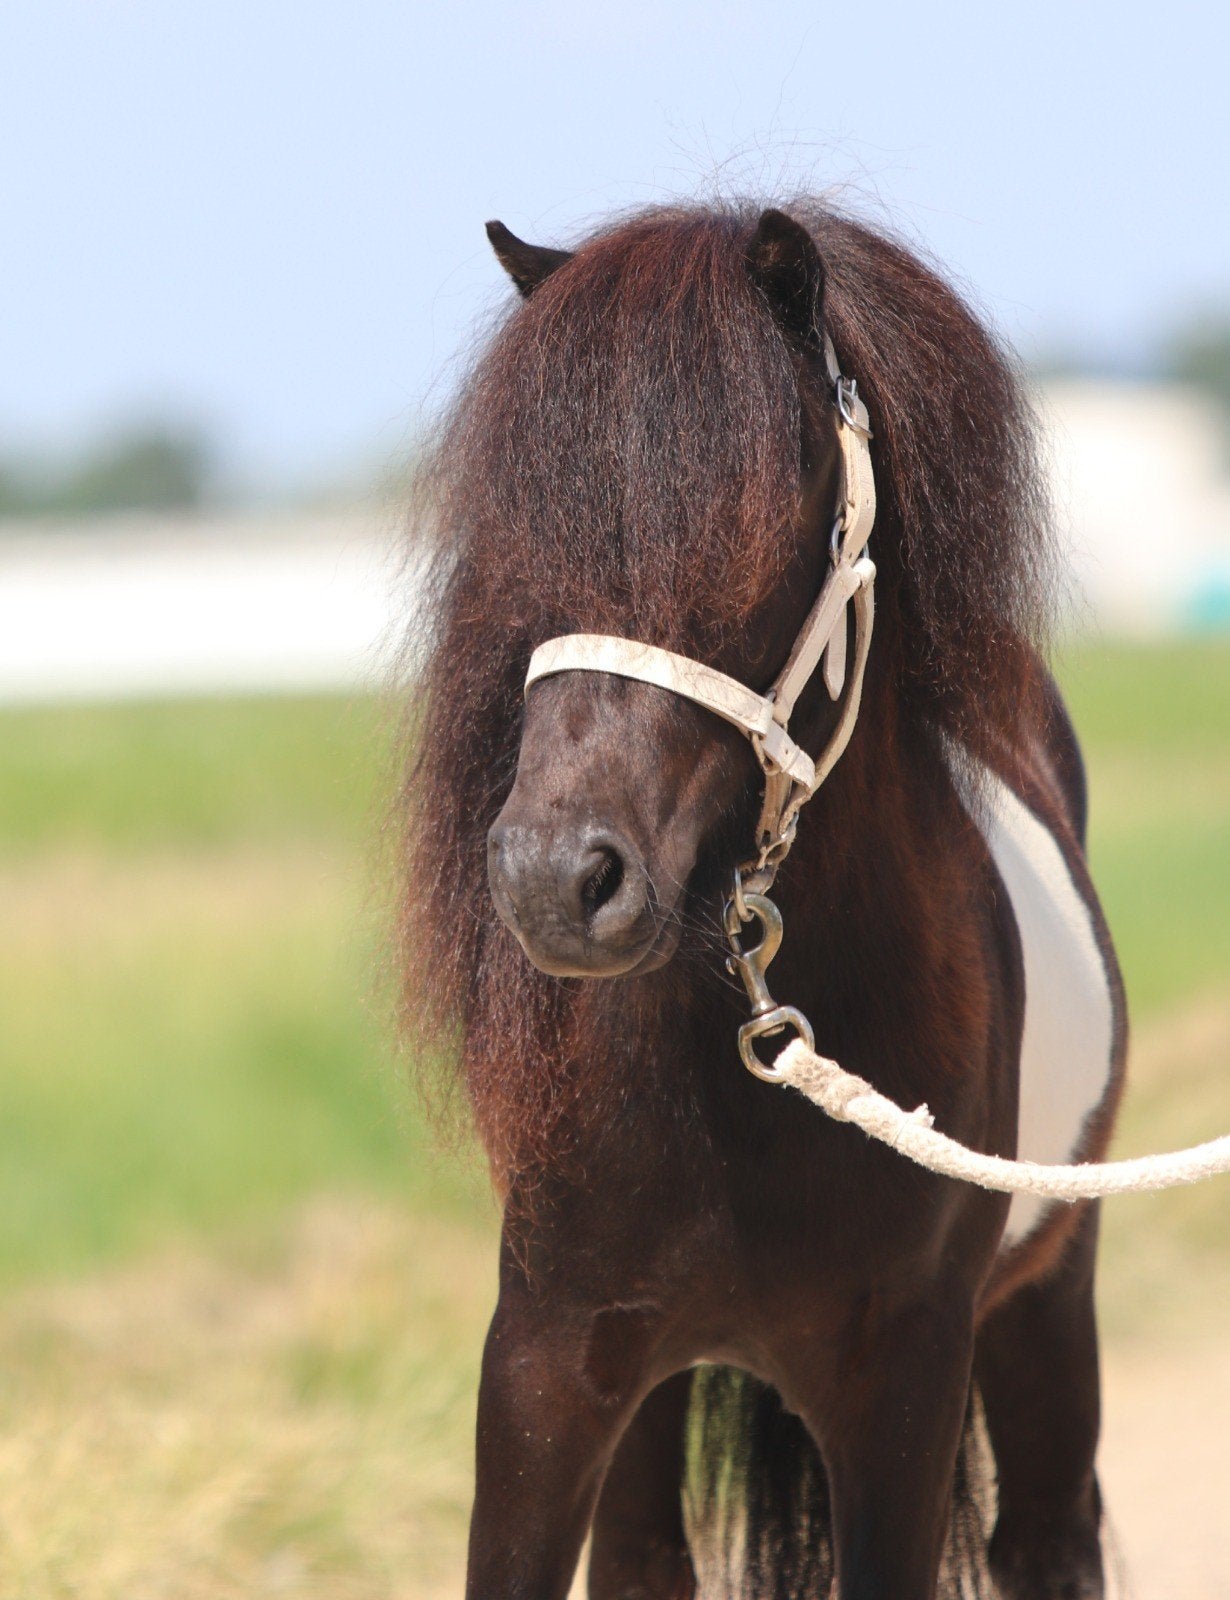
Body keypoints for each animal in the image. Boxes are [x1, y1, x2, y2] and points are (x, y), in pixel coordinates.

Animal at [401, 201, 1127, 1600]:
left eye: (758, 520)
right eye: (523, 521)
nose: (552, 879)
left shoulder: (904, 1385)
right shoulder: (547, 1366)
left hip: (1049, 1303)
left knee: (1049, 1539)